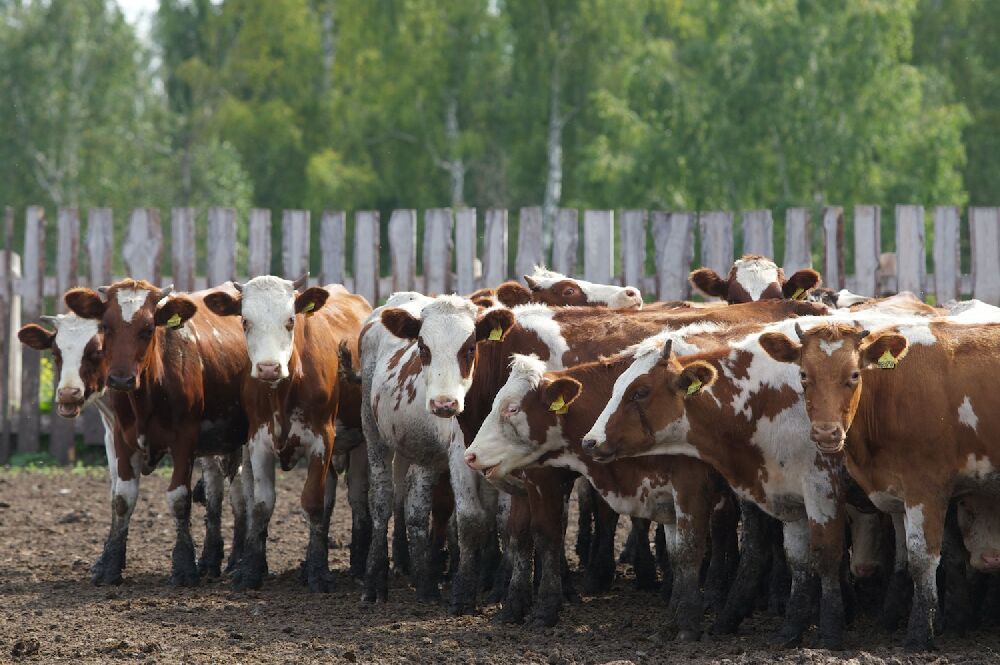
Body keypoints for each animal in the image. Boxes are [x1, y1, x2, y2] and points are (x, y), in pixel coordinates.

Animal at [65, 280, 250, 588]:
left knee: (242, 494)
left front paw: (184, 566)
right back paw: (211, 560)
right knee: (215, 492)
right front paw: (110, 566)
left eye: (148, 328)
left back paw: (238, 560)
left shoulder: (185, 441)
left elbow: (179, 498)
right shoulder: (121, 438)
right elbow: (122, 498)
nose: (120, 379)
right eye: (105, 326)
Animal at [203, 276, 372, 592]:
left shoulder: (321, 440)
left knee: (357, 496)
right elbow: (261, 505)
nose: (269, 368)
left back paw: (357, 563)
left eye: (290, 320)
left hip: (360, 444)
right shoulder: (258, 442)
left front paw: (319, 574)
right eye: (245, 320)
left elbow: (313, 503)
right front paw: (251, 571)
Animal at [752, 316, 1000, 648]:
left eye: (854, 374)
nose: (827, 433)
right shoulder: (896, 493)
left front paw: (919, 635)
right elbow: (906, 557)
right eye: (804, 374)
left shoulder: (926, 488)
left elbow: (922, 559)